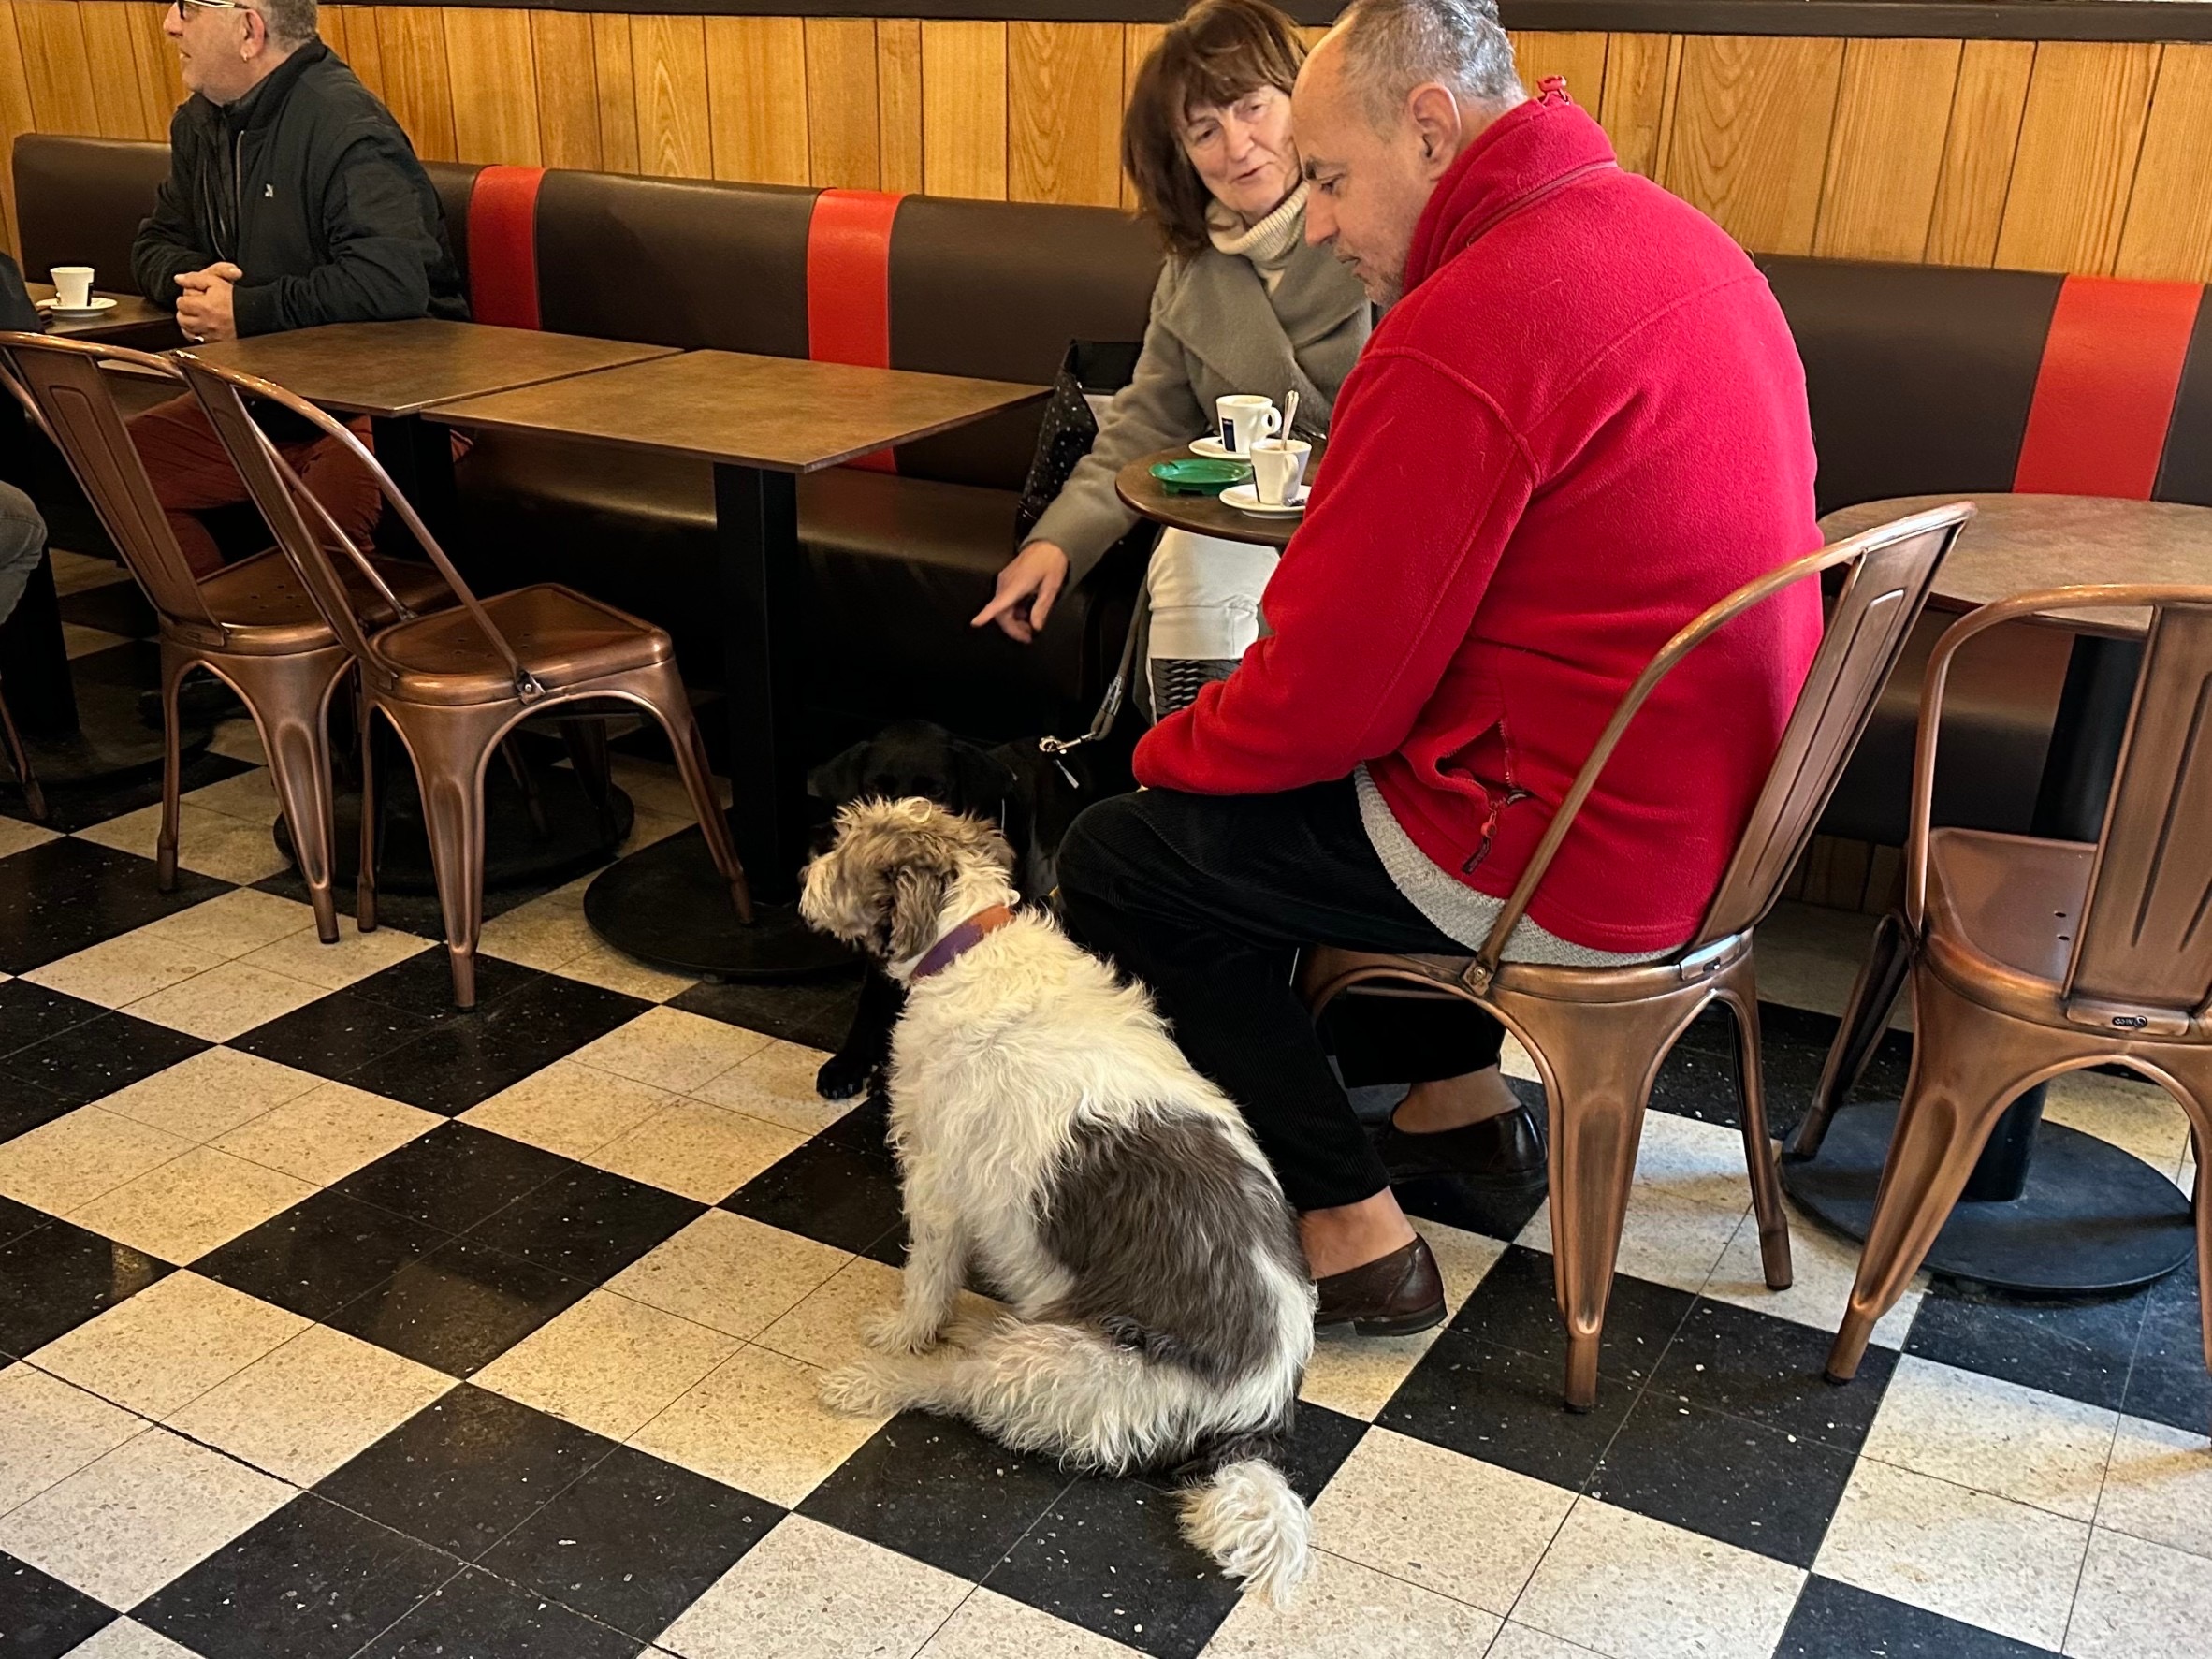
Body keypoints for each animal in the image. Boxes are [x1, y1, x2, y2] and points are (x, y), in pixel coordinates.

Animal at [800, 800, 1309, 1601]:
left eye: (846, 848)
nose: (805, 875)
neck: (971, 941)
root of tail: (1255, 1413)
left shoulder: (937, 1179)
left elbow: (928, 1280)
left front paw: (904, 1331)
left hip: (1060, 1364)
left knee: (955, 1388)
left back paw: (874, 1380)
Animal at [809, 725, 1092, 1106]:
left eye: (936, 791)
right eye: (876, 790)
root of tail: (1057, 748)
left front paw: (887, 1074)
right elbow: (870, 1002)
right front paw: (848, 1062)